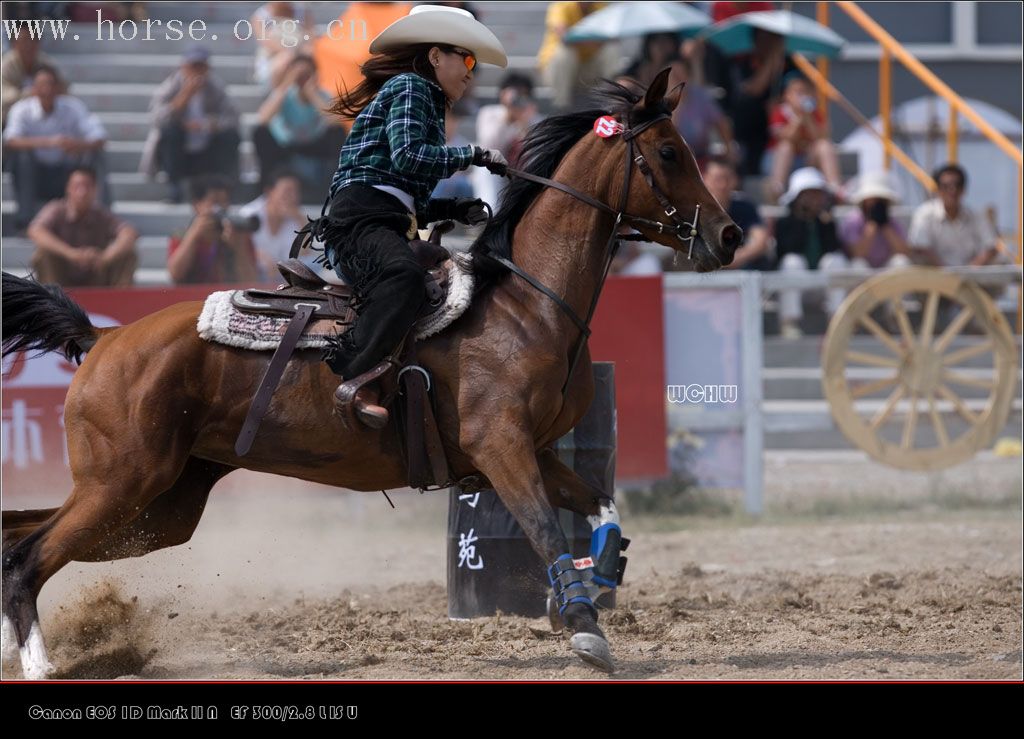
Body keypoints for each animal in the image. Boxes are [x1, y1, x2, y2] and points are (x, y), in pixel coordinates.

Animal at [0, 69, 737, 675]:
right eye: (668, 152)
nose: (727, 235)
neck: (528, 303)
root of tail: (106, 337)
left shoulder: (539, 450)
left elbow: (602, 506)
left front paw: (602, 574)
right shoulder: (502, 449)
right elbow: (545, 529)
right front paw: (586, 631)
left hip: (157, 506)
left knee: (21, 536)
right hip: (123, 485)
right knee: (29, 556)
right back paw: (40, 665)